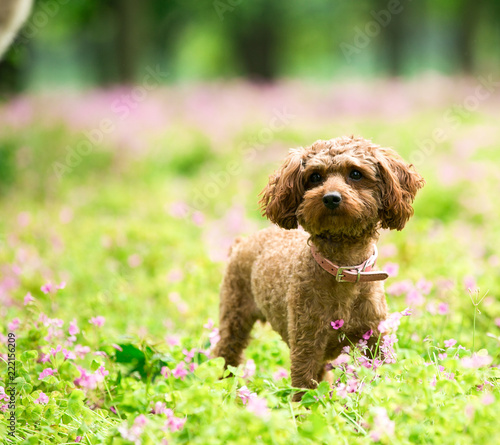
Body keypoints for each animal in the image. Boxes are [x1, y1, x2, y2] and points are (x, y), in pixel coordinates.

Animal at [215, 134, 426, 398]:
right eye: (315, 177)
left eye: (355, 174)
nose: (331, 198)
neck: (343, 268)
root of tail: (242, 241)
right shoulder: (306, 343)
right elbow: (304, 391)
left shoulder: (375, 338)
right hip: (234, 315)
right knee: (224, 356)